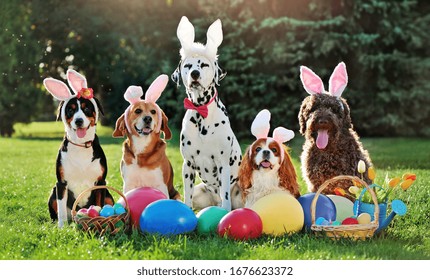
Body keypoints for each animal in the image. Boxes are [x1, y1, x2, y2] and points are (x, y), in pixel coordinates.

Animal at [43, 70, 113, 228]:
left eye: (87, 108)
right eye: (70, 110)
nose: (78, 120)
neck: (81, 145)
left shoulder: (101, 183)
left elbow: (99, 206)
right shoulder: (61, 184)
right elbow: (61, 211)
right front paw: (61, 228)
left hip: (108, 195)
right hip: (53, 192)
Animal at [172, 16, 245, 211]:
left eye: (204, 65)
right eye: (188, 66)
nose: (195, 73)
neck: (201, 112)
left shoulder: (223, 165)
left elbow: (226, 196)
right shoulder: (188, 165)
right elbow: (187, 197)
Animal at [298, 63, 372, 199]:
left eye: (333, 109)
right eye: (314, 108)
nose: (323, 120)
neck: (327, 150)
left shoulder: (345, 181)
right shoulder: (315, 183)